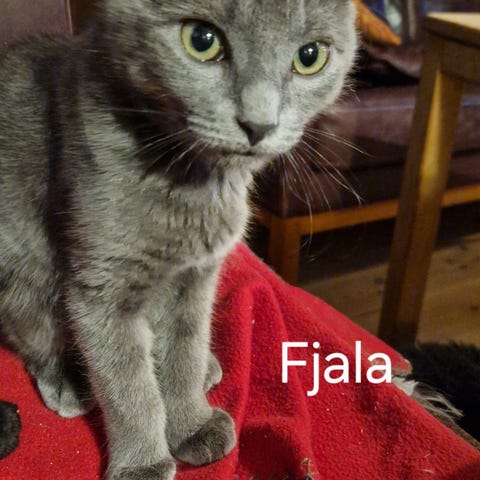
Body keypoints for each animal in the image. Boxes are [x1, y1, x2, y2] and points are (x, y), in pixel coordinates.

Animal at [0, 1, 357, 478]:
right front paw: (142, 462)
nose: (259, 123)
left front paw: (191, 422)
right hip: (23, 267)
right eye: (201, 41)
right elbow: (126, 384)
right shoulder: (101, 287)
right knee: (37, 333)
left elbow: (185, 346)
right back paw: (69, 379)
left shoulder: (198, 276)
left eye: (310, 56)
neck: (194, 183)